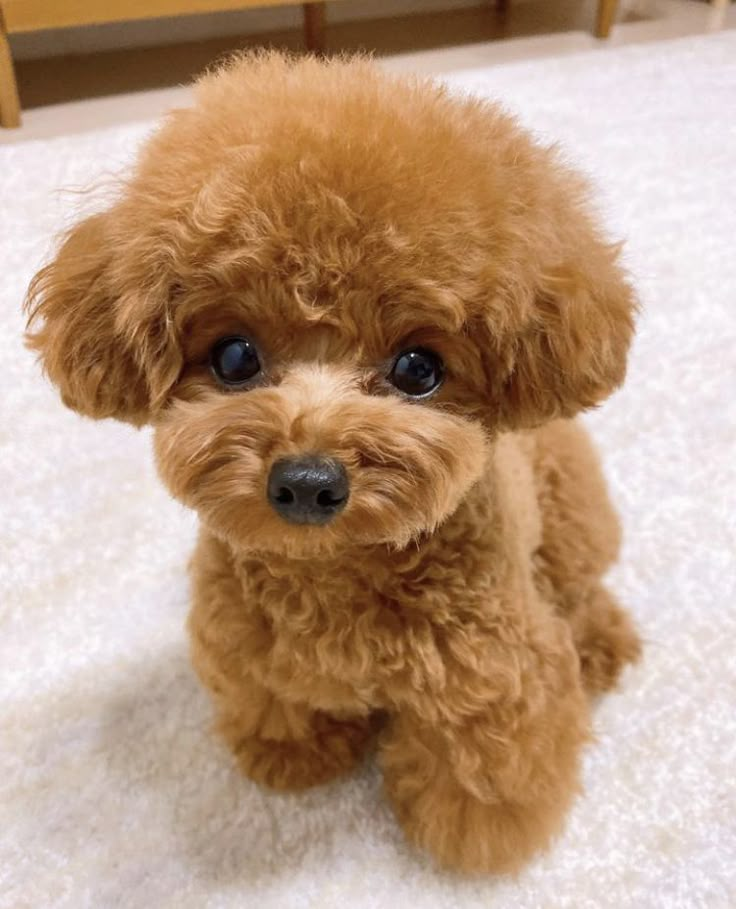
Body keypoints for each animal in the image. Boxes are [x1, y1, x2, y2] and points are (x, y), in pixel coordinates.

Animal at [25, 49, 640, 872]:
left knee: (578, 585)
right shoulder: (246, 654)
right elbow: (282, 709)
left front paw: (471, 835)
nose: (309, 484)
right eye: (234, 357)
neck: (335, 573)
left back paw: (600, 643)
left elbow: (479, 776)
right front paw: (297, 755)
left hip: (572, 514)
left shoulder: (489, 678)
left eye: (418, 368)